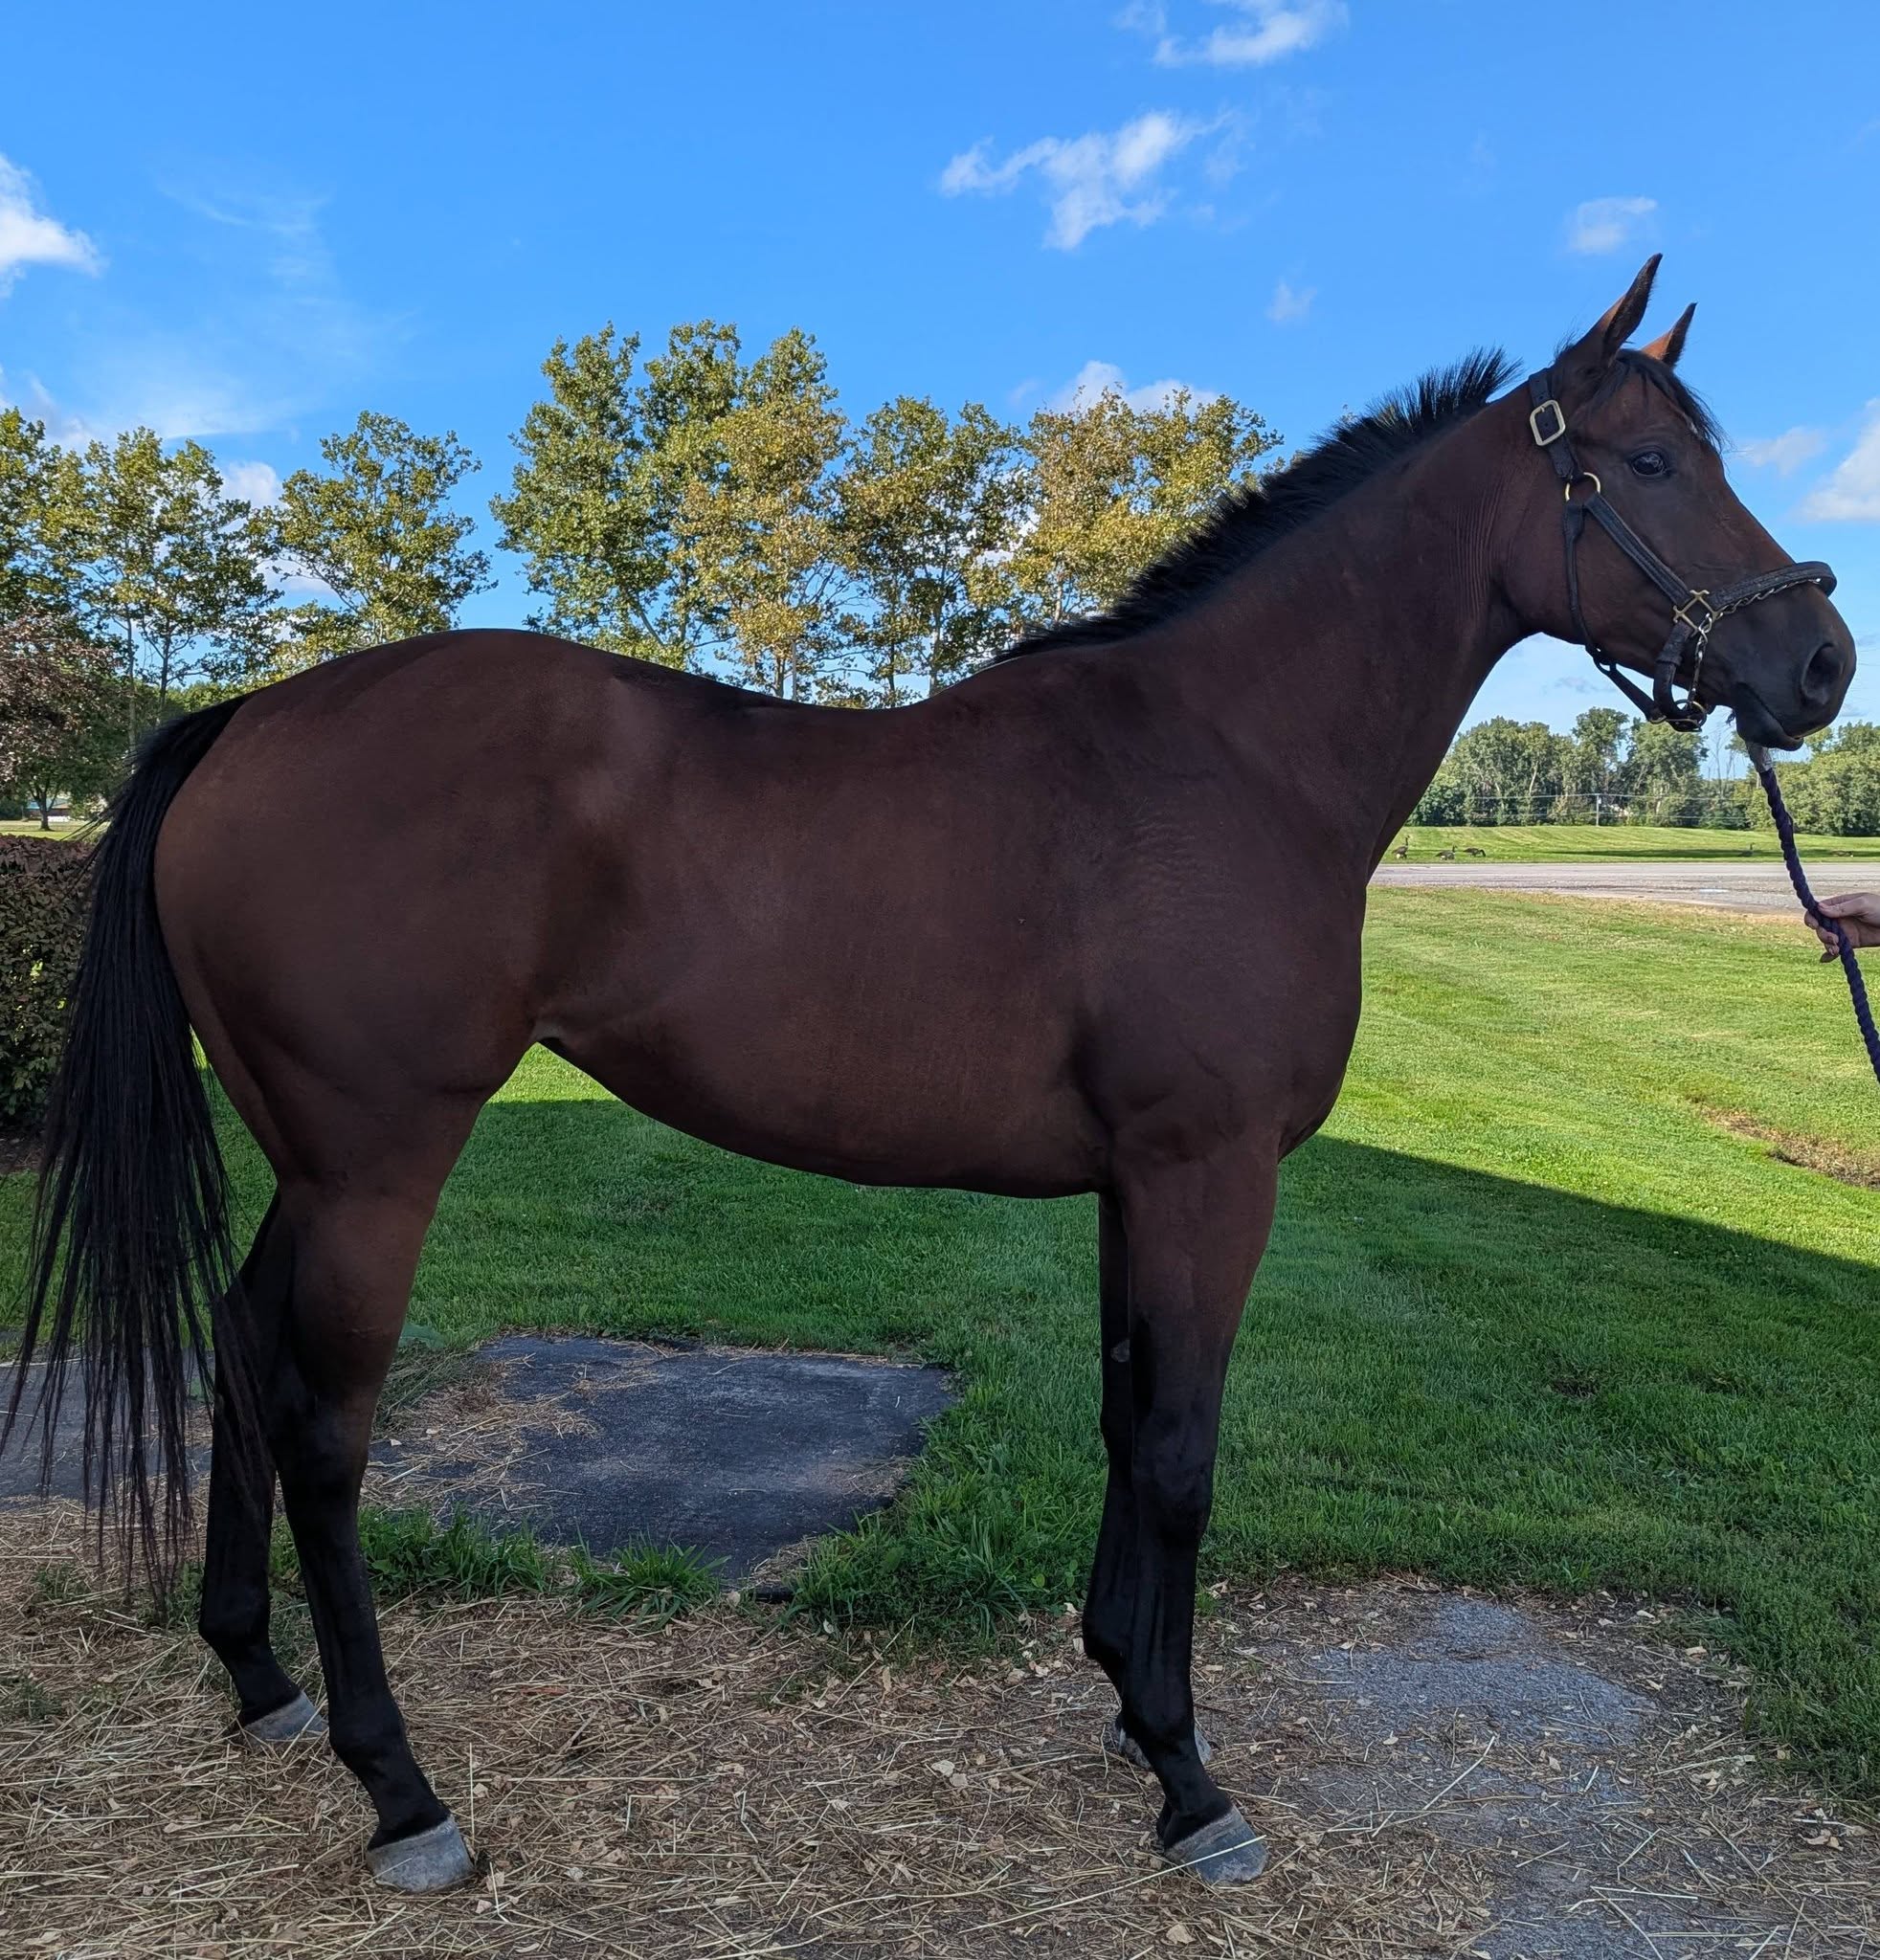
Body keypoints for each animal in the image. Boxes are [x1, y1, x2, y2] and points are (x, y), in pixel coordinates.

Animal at [5, 257, 1852, 1892]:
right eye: (1650, 465)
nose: (1818, 664)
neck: (1230, 759)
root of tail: (246, 720)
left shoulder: (1138, 1182)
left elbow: (1124, 1416)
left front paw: (1125, 1693)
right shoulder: (1209, 1170)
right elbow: (1182, 1451)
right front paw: (1190, 1782)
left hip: (311, 1164)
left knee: (239, 1352)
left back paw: (257, 1680)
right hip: (380, 1165)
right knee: (325, 1428)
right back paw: (401, 1792)